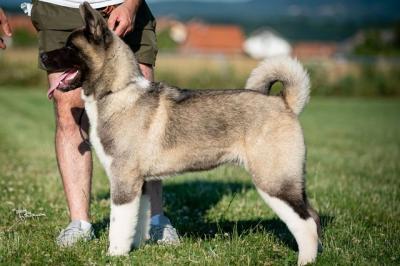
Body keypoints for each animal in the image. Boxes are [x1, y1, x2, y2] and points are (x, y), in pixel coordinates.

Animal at [40, 3, 322, 264]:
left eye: (70, 47)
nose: (42, 57)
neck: (118, 92)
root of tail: (284, 103)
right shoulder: (140, 182)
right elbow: (137, 221)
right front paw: (137, 248)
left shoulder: (124, 180)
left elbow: (119, 224)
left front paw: (115, 255)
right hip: (289, 180)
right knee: (314, 216)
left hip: (274, 181)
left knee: (305, 223)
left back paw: (305, 260)